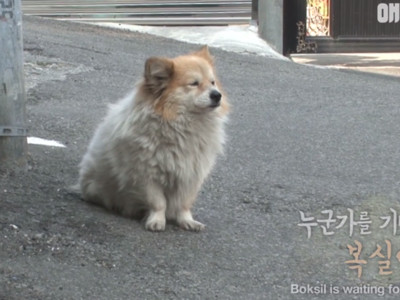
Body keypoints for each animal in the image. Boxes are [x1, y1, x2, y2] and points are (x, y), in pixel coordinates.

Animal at [78, 45, 228, 231]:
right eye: (194, 84)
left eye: (212, 82)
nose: (217, 95)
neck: (183, 125)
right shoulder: (146, 176)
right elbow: (158, 203)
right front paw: (157, 221)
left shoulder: (190, 176)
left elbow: (184, 204)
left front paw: (187, 221)